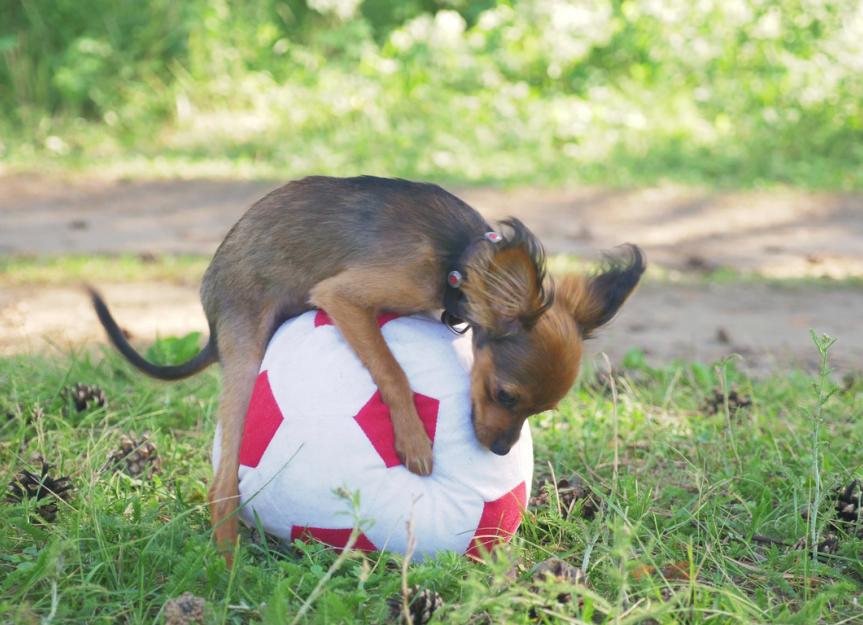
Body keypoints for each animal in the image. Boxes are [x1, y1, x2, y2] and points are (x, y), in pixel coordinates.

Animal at [91, 177, 644, 560]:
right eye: (504, 395)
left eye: (539, 412)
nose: (502, 451)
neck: (459, 259)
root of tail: (209, 305)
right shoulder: (347, 296)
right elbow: (392, 369)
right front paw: (415, 441)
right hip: (246, 355)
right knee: (222, 486)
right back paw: (228, 568)